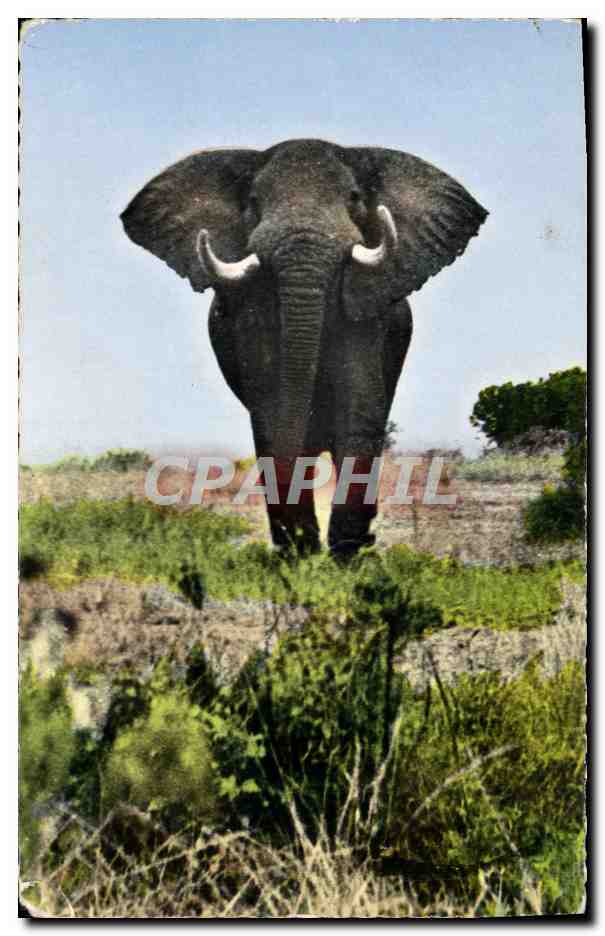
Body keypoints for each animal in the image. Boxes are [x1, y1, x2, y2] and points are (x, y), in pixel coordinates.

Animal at [121, 138, 487, 558]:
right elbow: (272, 414)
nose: (301, 545)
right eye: (253, 202)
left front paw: (347, 557)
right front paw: (300, 555)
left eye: (354, 197)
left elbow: (358, 408)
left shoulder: (365, 308)